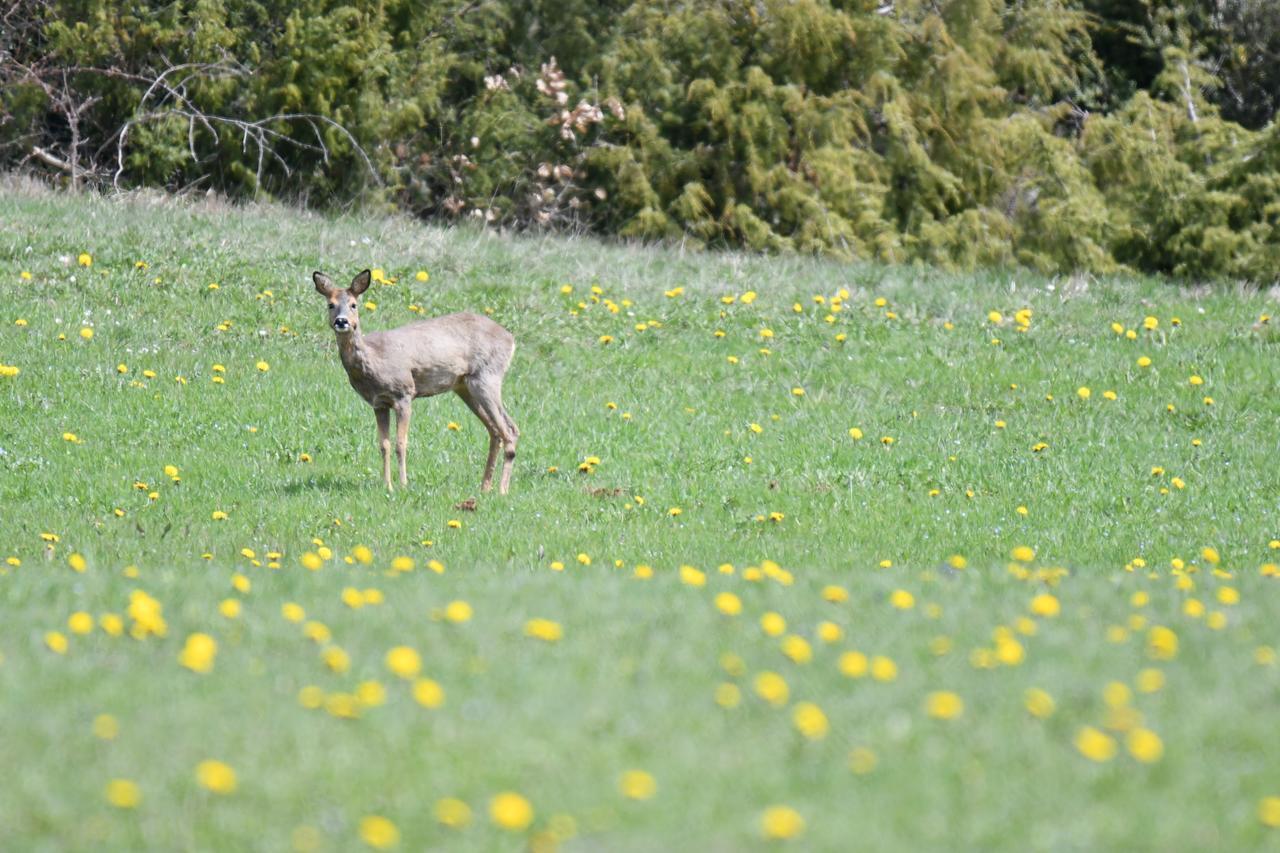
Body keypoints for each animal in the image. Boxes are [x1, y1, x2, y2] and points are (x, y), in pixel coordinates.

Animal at [312, 266, 517, 491]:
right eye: (330, 304)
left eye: (353, 304)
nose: (342, 321)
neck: (374, 359)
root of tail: (510, 339)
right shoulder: (379, 403)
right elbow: (384, 445)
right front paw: (387, 485)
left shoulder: (404, 393)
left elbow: (401, 444)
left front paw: (403, 484)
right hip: (465, 386)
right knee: (496, 431)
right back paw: (485, 488)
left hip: (488, 377)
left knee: (509, 430)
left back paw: (502, 490)